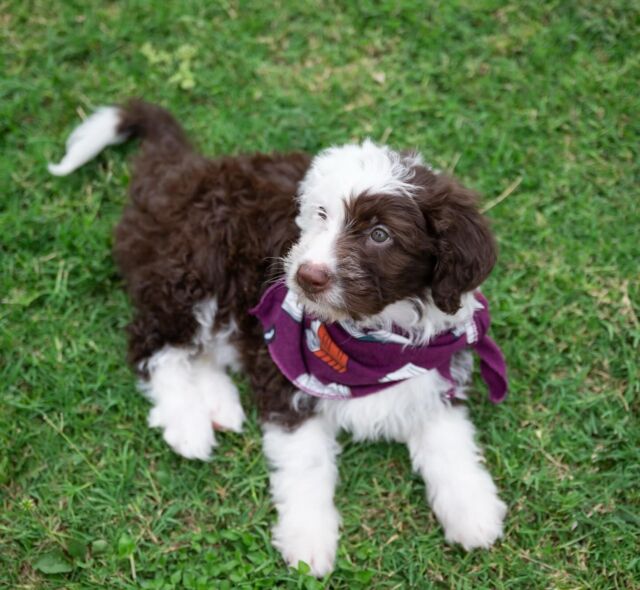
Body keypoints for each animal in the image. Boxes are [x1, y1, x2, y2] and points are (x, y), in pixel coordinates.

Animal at [48, 102, 510, 580]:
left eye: (380, 234)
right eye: (321, 215)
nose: (306, 276)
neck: (371, 337)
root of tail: (186, 170)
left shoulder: (435, 369)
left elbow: (450, 441)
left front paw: (473, 511)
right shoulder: (288, 381)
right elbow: (306, 462)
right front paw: (308, 542)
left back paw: (219, 405)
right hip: (194, 267)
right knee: (155, 344)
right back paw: (188, 423)